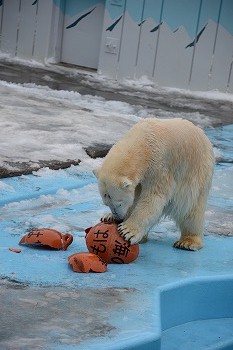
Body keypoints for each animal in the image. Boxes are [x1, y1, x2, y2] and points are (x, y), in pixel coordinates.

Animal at [93, 119, 215, 250]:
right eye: (106, 203)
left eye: (119, 203)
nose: (118, 218)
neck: (142, 142)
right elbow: (136, 196)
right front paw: (108, 216)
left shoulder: (159, 166)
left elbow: (153, 197)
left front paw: (127, 231)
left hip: (197, 172)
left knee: (190, 209)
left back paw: (187, 242)